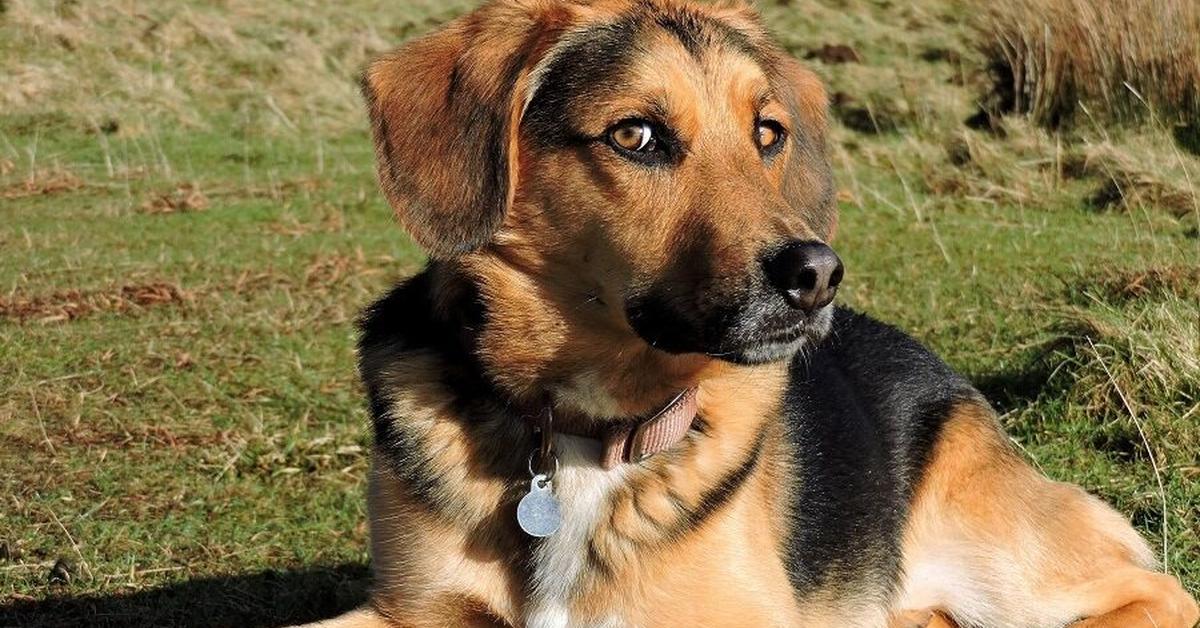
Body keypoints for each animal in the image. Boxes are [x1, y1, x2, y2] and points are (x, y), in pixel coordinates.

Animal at [304, 1, 1195, 628]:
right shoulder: (407, 609)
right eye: (636, 135)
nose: (818, 276)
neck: (586, 436)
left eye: (769, 134)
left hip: (1000, 557)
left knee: (1159, 591)